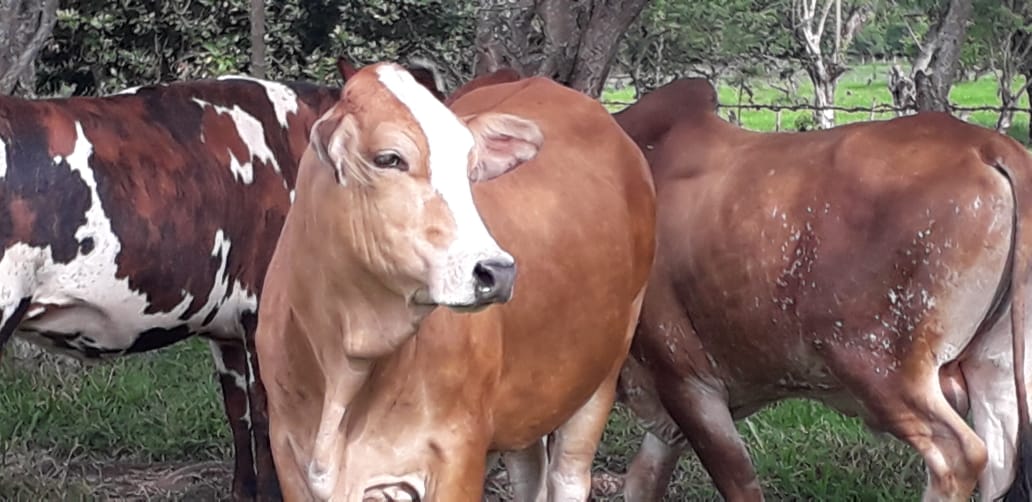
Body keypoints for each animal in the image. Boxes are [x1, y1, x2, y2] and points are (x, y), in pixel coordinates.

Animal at [255, 63, 656, 501]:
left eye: (468, 167)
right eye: (389, 158)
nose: (496, 270)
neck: (347, 364)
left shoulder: (457, 453)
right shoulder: (288, 456)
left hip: (601, 374)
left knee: (568, 474)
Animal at [610, 78, 1032, 502]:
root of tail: (988, 146)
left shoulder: (685, 379)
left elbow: (739, 484)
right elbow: (641, 481)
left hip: (879, 366)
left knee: (958, 455)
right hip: (994, 365)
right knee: (1000, 461)